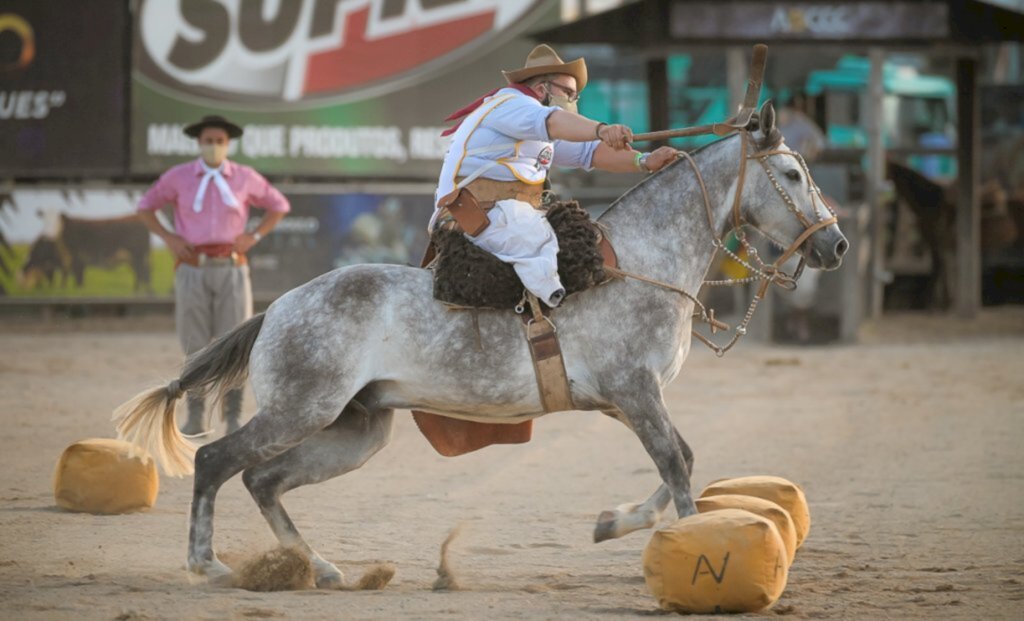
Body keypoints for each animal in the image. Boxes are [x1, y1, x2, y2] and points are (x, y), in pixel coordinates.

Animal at [114, 104, 847, 590]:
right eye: (791, 171)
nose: (837, 244)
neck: (638, 262)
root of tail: (276, 309)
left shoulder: (624, 401)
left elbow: (677, 464)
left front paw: (612, 524)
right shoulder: (636, 392)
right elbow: (676, 463)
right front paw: (691, 547)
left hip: (356, 430)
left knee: (263, 479)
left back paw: (318, 567)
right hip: (302, 410)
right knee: (215, 459)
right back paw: (208, 562)